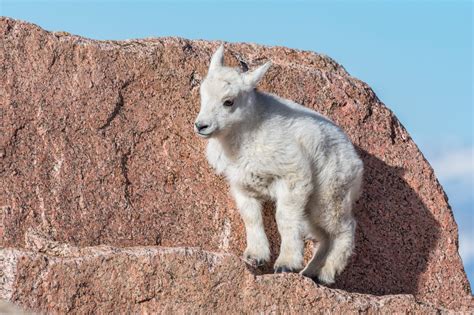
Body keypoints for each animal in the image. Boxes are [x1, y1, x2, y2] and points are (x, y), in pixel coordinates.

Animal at [193, 45, 362, 286]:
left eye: (229, 101)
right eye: (202, 94)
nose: (201, 126)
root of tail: (356, 161)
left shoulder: (293, 176)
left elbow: (284, 219)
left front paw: (286, 264)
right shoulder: (242, 184)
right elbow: (251, 217)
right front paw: (256, 257)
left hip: (330, 192)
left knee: (344, 228)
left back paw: (328, 273)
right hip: (314, 203)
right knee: (323, 236)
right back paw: (310, 271)